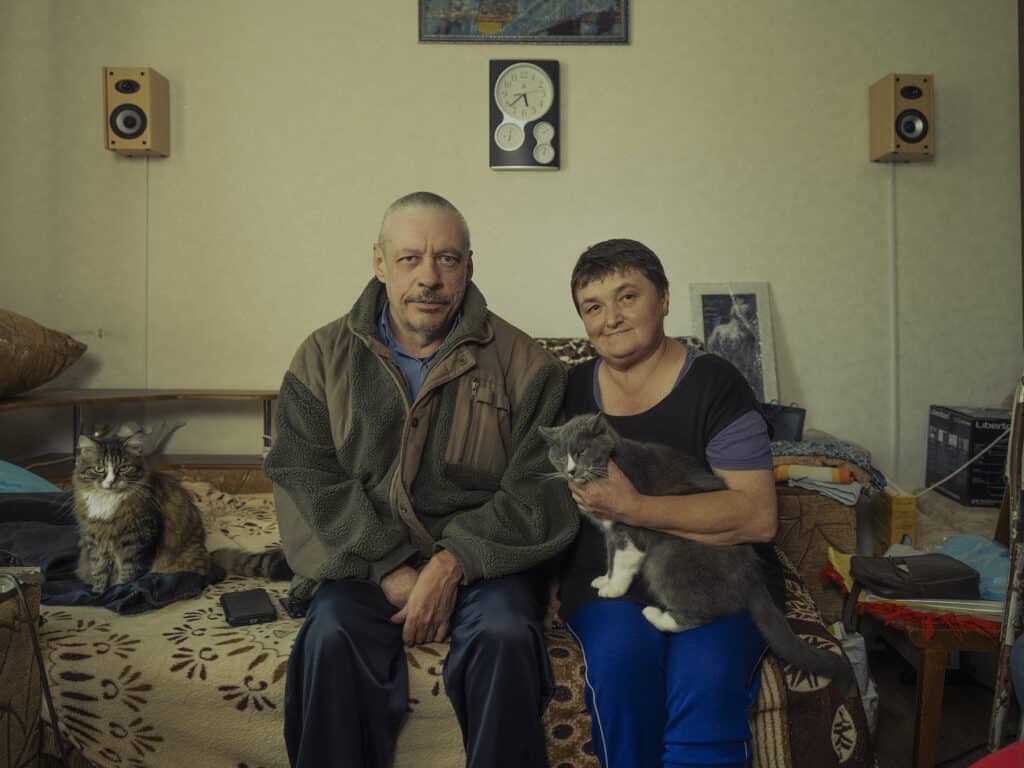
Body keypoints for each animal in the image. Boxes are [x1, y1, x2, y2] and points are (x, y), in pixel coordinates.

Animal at [72, 434, 290, 593]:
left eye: (124, 468)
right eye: (99, 468)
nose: (110, 482)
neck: (107, 504)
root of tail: (208, 554)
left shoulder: (137, 540)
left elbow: (128, 572)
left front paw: (118, 590)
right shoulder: (95, 541)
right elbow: (99, 571)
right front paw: (99, 593)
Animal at [540, 415, 851, 696]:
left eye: (581, 452)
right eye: (560, 456)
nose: (570, 471)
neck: (608, 464)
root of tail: (751, 575)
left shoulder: (628, 528)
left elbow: (623, 561)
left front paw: (613, 589)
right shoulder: (610, 533)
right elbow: (611, 557)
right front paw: (604, 579)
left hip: (668, 557)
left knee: (698, 613)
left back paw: (656, 615)